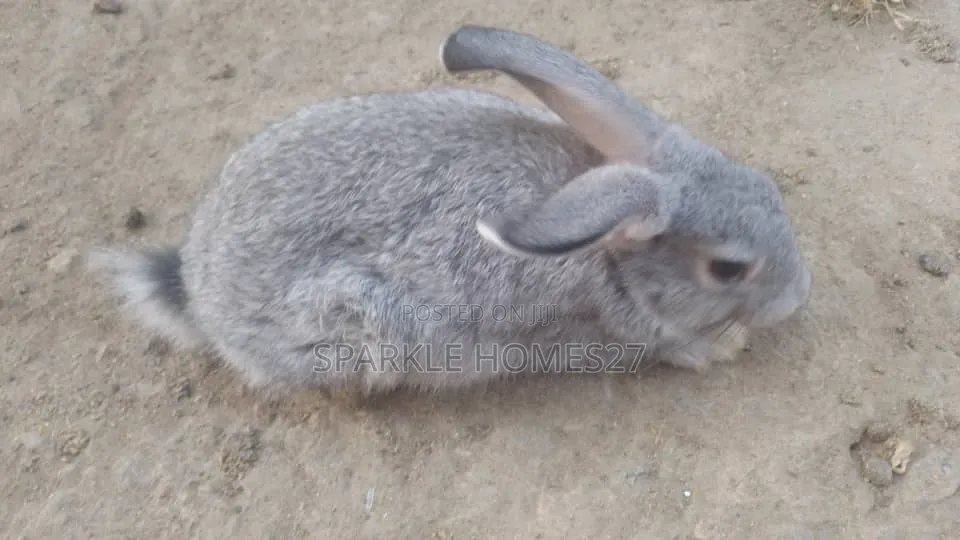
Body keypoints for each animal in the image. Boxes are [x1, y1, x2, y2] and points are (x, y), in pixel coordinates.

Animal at [88, 25, 812, 400]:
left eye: (768, 189)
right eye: (728, 269)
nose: (797, 298)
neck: (612, 259)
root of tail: (198, 291)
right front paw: (721, 346)